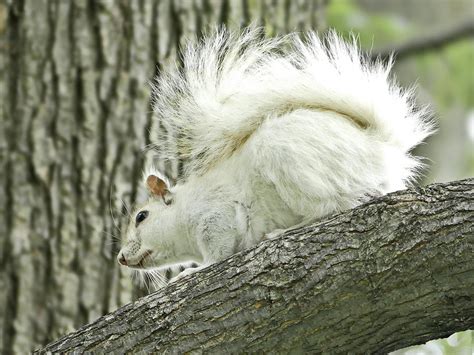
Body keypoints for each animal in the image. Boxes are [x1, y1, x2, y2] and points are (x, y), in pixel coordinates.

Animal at [115, 28, 434, 284]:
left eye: (141, 217)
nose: (120, 258)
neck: (185, 212)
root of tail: (376, 148)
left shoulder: (216, 217)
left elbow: (217, 252)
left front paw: (194, 270)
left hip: (293, 165)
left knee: (330, 208)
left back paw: (281, 232)